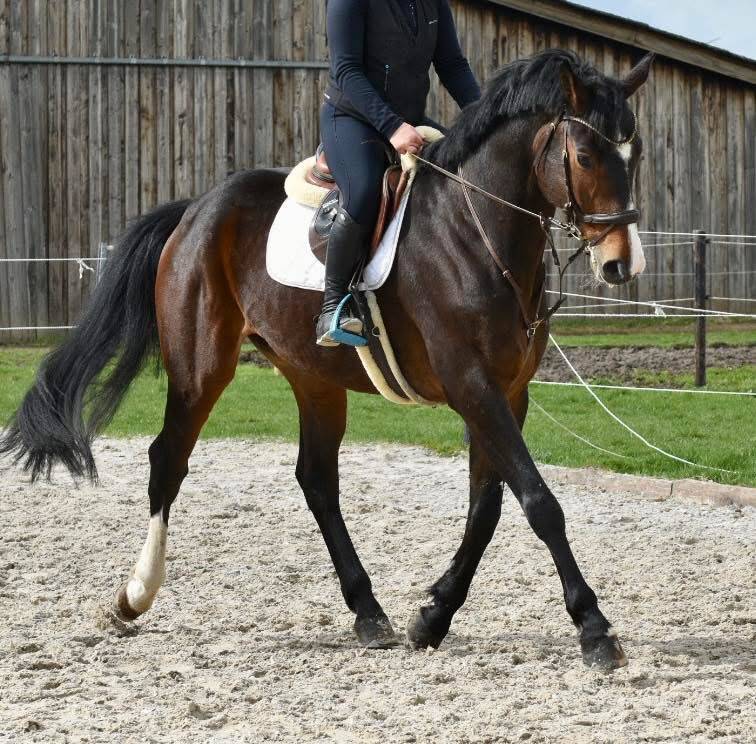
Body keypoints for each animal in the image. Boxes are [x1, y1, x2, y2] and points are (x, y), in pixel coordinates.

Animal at [1, 49, 653, 670]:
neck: (477, 234)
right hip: (201, 368)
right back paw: (134, 596)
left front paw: (433, 616)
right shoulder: (471, 384)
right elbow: (539, 503)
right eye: (586, 157)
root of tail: (194, 210)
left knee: (316, 479)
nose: (623, 264)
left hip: (312, 377)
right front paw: (595, 629)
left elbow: (487, 507)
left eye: (635, 152)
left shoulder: (508, 392)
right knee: (169, 460)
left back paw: (369, 613)